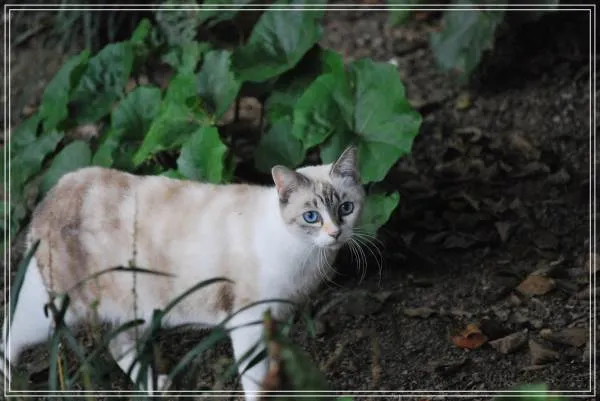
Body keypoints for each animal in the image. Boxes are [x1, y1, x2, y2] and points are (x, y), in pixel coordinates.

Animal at [1, 145, 365, 400]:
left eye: (346, 208)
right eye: (311, 217)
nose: (335, 234)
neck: (306, 256)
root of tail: (55, 190)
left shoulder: (279, 314)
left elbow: (277, 362)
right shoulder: (247, 320)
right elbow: (254, 378)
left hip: (137, 307)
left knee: (118, 346)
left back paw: (155, 386)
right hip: (55, 308)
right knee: (10, 328)